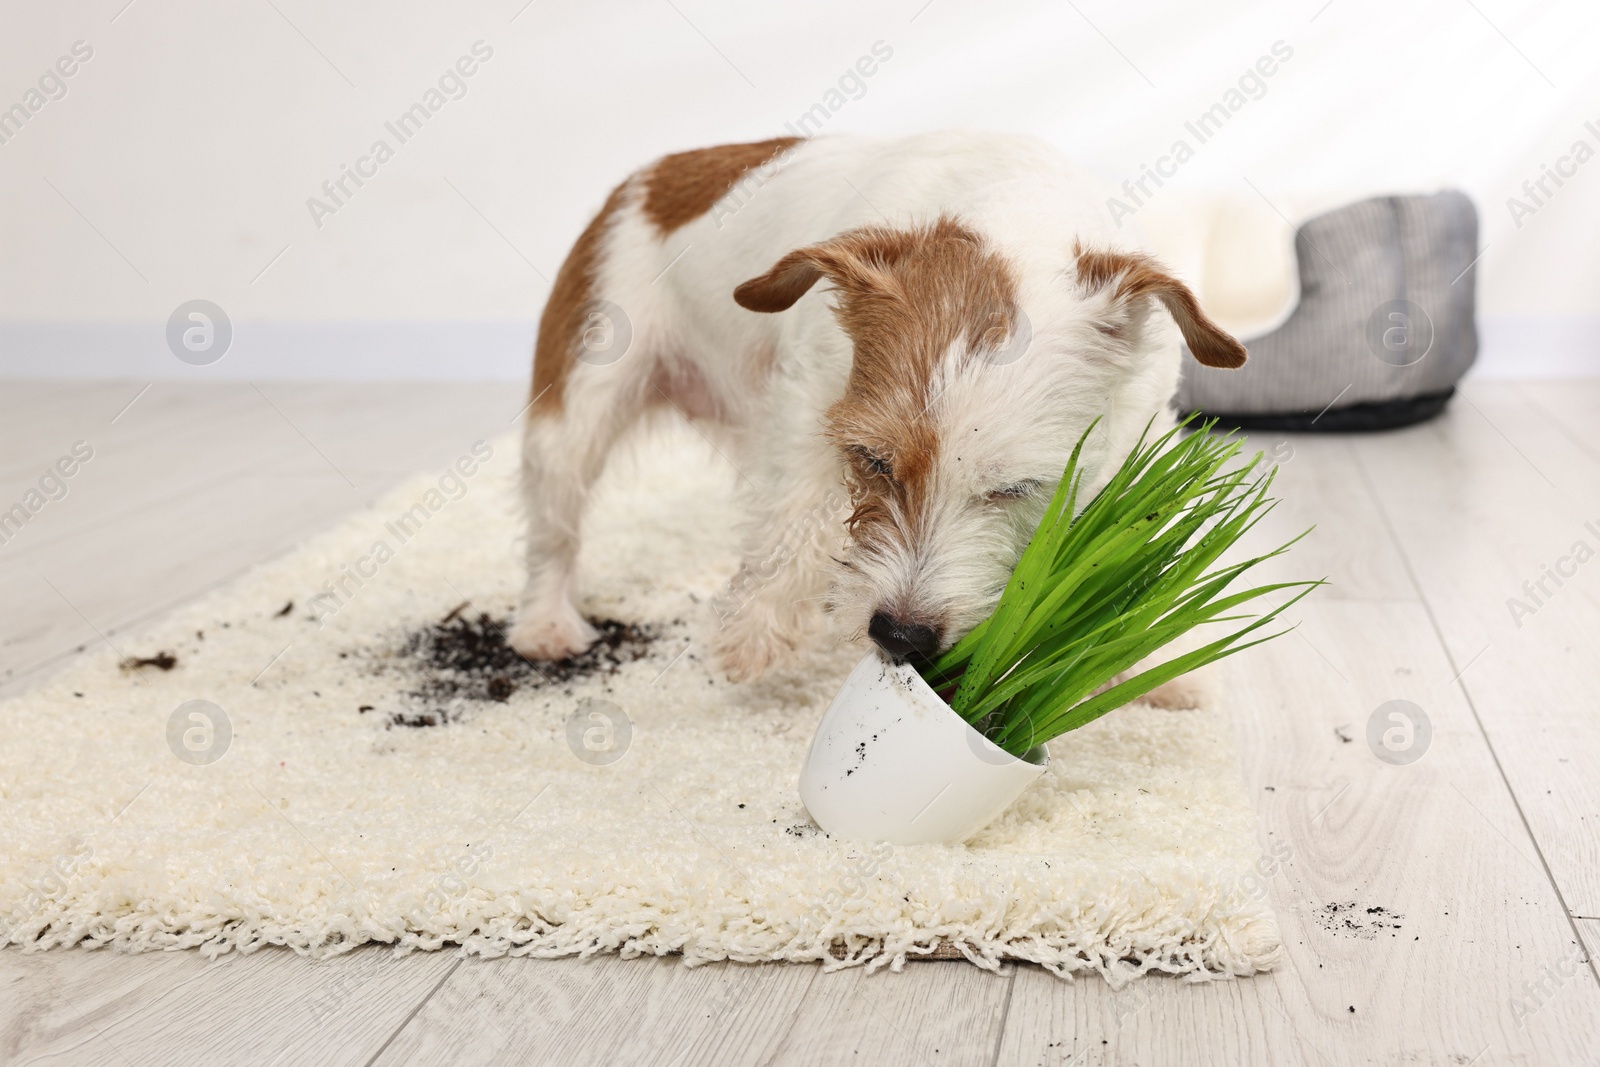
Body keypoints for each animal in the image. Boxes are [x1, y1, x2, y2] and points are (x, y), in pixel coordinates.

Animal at [505, 129, 1241, 681]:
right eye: (873, 461)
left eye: (1015, 489)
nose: (901, 636)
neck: (1018, 221)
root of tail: (649, 174)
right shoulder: (809, 402)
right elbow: (790, 518)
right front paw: (752, 631)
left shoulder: (1139, 430)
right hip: (574, 412)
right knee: (554, 531)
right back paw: (545, 622)